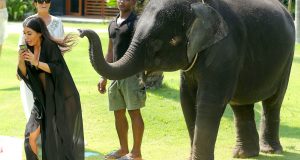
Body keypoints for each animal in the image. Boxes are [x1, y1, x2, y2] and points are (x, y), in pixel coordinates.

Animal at [78, 0, 294, 159]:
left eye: (158, 42)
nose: (81, 32)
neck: (197, 5)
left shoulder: (225, 50)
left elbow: (209, 103)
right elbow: (187, 101)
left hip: (288, 58)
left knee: (273, 101)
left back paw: (270, 150)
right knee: (241, 104)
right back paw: (243, 154)